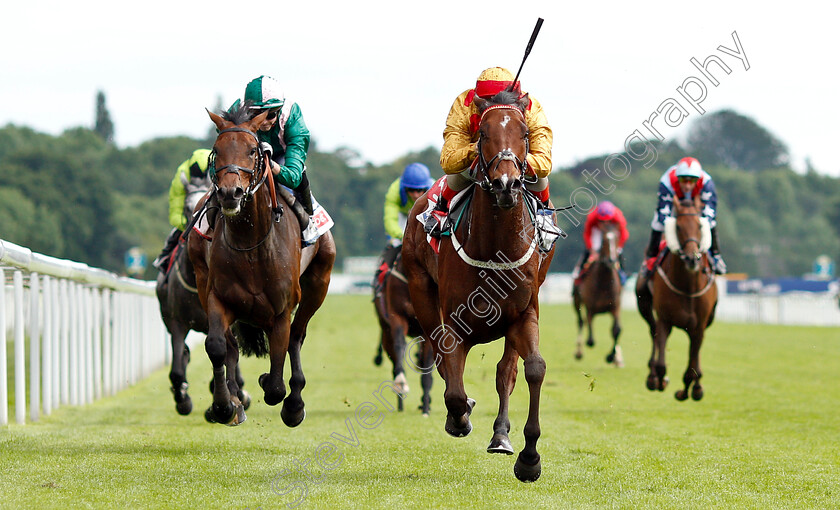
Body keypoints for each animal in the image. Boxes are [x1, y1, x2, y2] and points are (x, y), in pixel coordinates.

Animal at [189, 104, 336, 426]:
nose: (229, 193)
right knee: (231, 346)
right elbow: (217, 346)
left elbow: (277, 377)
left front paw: (279, 391)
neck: (250, 244)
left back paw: (294, 403)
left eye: (252, 151)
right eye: (217, 150)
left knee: (296, 336)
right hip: (200, 277)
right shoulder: (217, 296)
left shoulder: (281, 309)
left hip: (319, 282)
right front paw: (224, 406)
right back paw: (234, 400)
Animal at [374, 251, 434, 414]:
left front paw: (426, 408)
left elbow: (427, 366)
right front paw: (400, 383)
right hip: (385, 332)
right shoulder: (397, 318)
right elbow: (400, 346)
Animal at [404, 90, 556, 482]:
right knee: (441, 360)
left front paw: (529, 457)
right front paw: (460, 418)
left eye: (524, 133)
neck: (495, 248)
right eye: (484, 134)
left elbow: (532, 369)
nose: (507, 183)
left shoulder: (524, 313)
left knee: (506, 371)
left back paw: (501, 435)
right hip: (421, 291)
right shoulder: (454, 323)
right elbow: (453, 386)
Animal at [572, 227, 624, 366]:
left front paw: (612, 357)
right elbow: (590, 339)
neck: (605, 282)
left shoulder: (615, 306)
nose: (611, 260)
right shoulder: (590, 307)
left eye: (617, 238)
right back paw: (578, 352)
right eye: (604, 240)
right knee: (581, 322)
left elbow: (616, 330)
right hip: (576, 300)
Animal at [636, 195, 716, 402]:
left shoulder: (699, 326)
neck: (687, 288)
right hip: (645, 306)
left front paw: (688, 390)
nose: (692, 258)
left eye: (700, 226)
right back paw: (652, 377)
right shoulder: (665, 319)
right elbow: (662, 362)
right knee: (653, 333)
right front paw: (660, 380)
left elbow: (692, 366)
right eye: (678, 227)